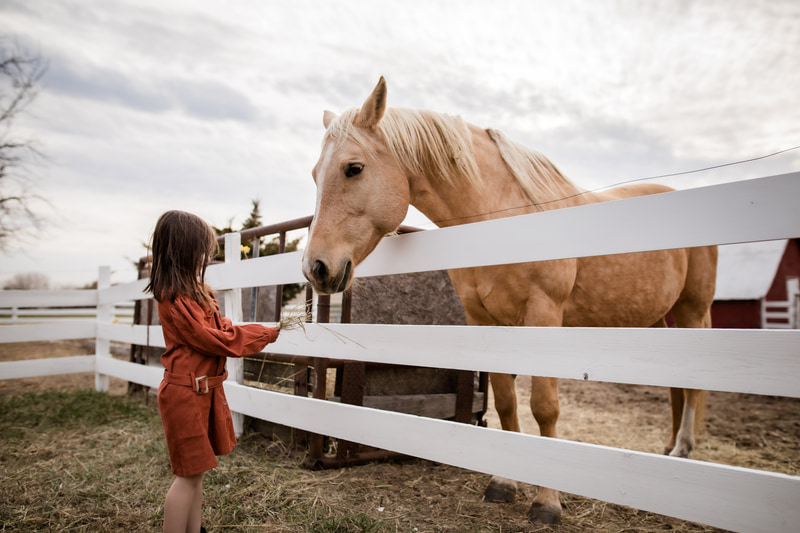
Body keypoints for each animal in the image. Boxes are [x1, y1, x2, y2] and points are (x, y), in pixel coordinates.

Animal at [301, 76, 717, 524]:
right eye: (315, 175)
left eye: (354, 168)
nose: (315, 268)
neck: (502, 218)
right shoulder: (486, 321)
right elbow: (505, 402)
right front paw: (504, 483)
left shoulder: (543, 316)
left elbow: (545, 407)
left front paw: (547, 502)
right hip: (660, 318)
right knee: (677, 384)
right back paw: (670, 451)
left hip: (693, 312)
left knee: (694, 387)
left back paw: (682, 449)